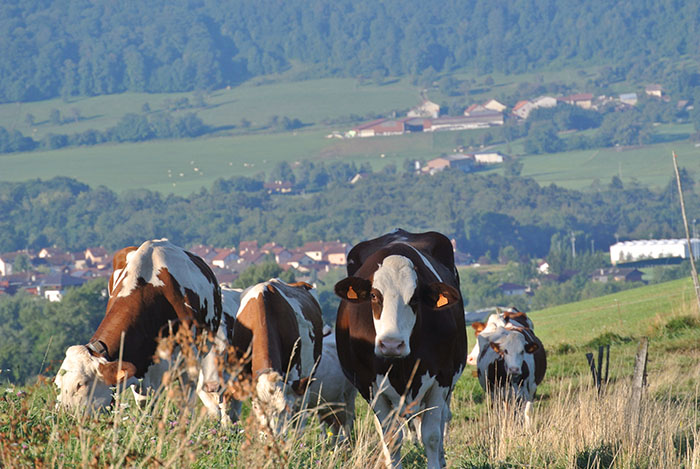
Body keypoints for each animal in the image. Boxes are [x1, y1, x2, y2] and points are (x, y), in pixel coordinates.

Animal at [55, 239, 223, 418]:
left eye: (81, 384)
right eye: (58, 383)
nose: (62, 416)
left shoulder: (189, 364)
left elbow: (186, 403)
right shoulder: (140, 371)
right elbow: (145, 405)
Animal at [232, 276, 326, 434]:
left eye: (284, 409)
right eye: (256, 407)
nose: (272, 436)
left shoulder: (294, 371)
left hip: (307, 378)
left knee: (301, 414)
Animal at [334, 229, 464, 466]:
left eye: (414, 298)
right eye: (374, 295)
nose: (392, 344)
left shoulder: (441, 379)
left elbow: (432, 436)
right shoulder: (371, 387)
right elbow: (391, 439)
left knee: (442, 420)